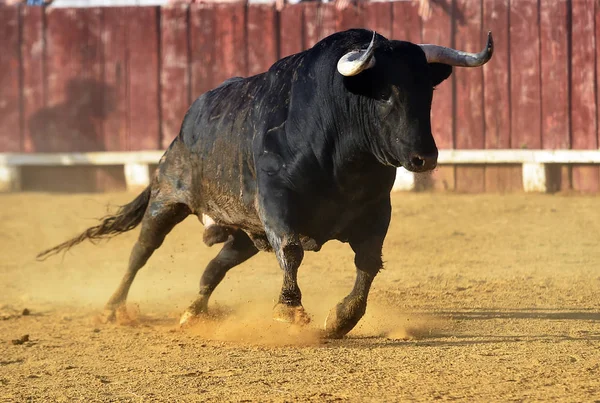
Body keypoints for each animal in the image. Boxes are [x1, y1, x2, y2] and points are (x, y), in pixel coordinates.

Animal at [38, 29, 492, 338]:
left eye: (427, 91)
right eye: (383, 93)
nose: (424, 158)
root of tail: (181, 132)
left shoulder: (377, 211)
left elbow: (368, 263)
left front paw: (340, 320)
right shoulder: (277, 204)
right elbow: (291, 250)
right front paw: (289, 312)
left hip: (244, 234)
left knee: (215, 266)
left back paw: (193, 313)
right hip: (167, 199)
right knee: (141, 251)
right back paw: (113, 308)